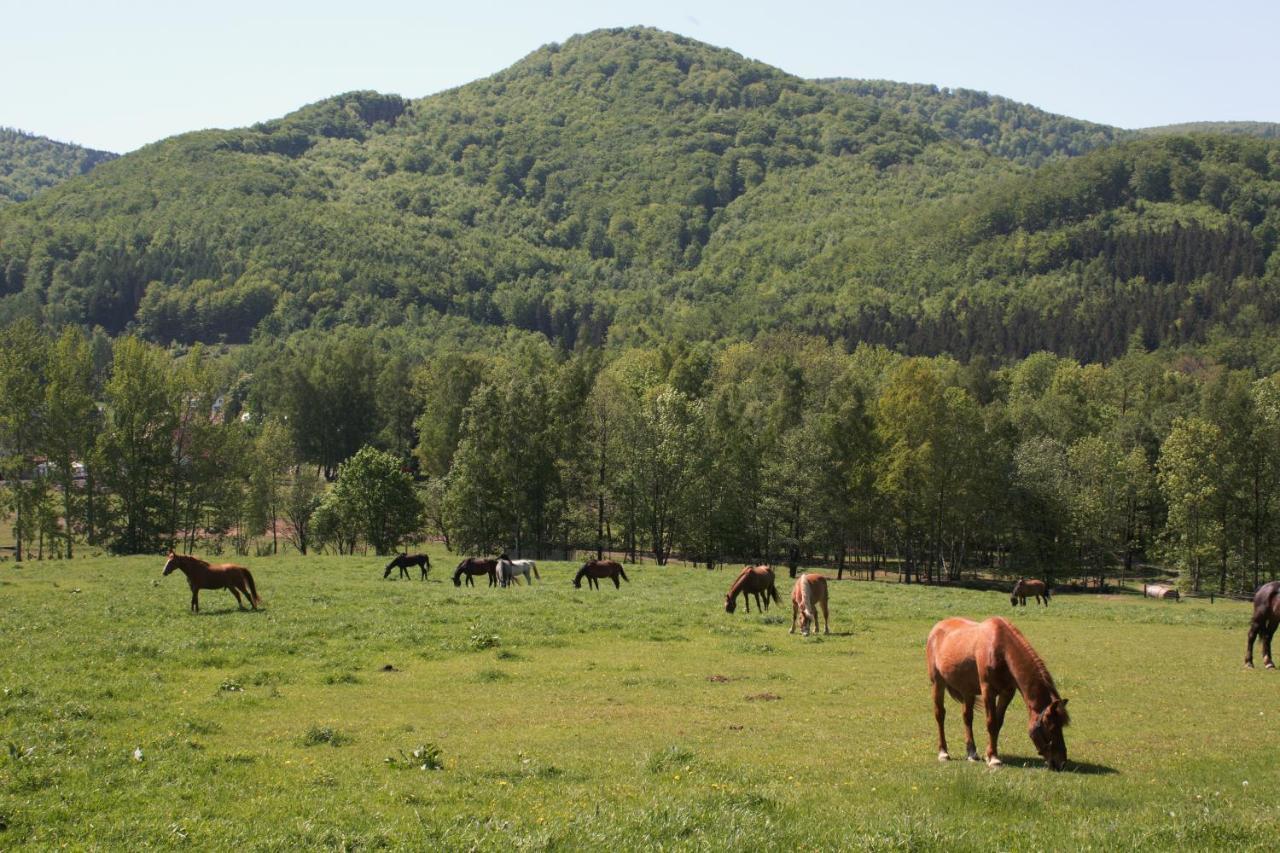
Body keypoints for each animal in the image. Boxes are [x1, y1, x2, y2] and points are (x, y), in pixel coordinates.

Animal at [931, 614, 1070, 768]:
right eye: (1051, 728)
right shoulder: (988, 692)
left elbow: (998, 722)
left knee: (967, 717)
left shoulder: (1007, 693)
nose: (1061, 762)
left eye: (1061, 726)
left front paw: (989, 754)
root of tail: (937, 627)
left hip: (967, 690)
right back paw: (943, 753)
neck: (1001, 650)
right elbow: (991, 722)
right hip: (937, 683)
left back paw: (972, 753)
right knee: (940, 715)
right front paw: (993, 759)